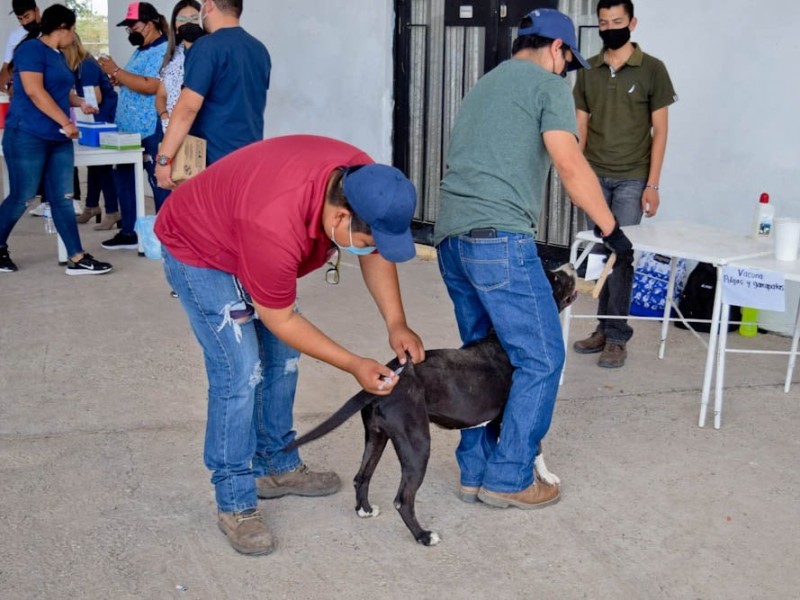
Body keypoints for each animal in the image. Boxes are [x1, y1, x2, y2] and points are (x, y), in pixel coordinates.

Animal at [288, 264, 576, 548]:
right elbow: (535, 445)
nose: (572, 265)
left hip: (377, 436)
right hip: (417, 445)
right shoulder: (516, 413)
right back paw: (424, 536)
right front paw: (546, 478)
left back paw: (365, 510)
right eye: (554, 278)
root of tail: (387, 377)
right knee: (402, 500)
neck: (499, 342)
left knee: (362, 477)